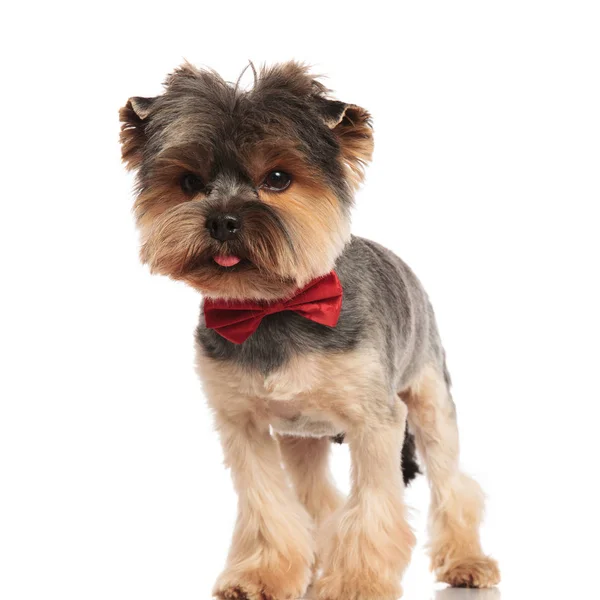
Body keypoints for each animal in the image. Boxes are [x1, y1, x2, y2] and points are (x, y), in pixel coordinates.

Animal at [119, 62, 500, 600]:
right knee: (317, 497)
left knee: (451, 481)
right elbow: (267, 504)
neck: (272, 307)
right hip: (302, 434)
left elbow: (373, 507)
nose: (223, 220)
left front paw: (356, 582)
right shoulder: (242, 424)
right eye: (189, 182)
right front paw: (261, 575)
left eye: (278, 178)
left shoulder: (376, 420)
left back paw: (467, 561)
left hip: (428, 393)